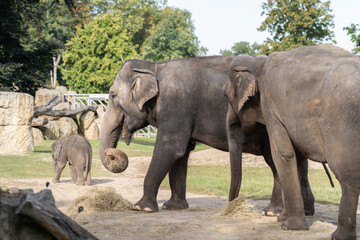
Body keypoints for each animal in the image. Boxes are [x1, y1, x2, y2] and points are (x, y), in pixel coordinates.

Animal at [100, 56, 314, 214]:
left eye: (112, 95)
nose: (112, 152)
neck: (154, 66)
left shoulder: (176, 105)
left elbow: (171, 148)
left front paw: (140, 208)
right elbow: (181, 154)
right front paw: (174, 207)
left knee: (276, 162)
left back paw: (272, 212)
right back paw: (305, 211)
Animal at [225, 44, 360, 239]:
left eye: (225, 96)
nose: (229, 209)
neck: (259, 62)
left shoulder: (271, 106)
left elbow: (283, 154)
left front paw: (289, 226)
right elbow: (296, 158)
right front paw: (281, 219)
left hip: (344, 123)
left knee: (347, 175)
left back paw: (338, 236)